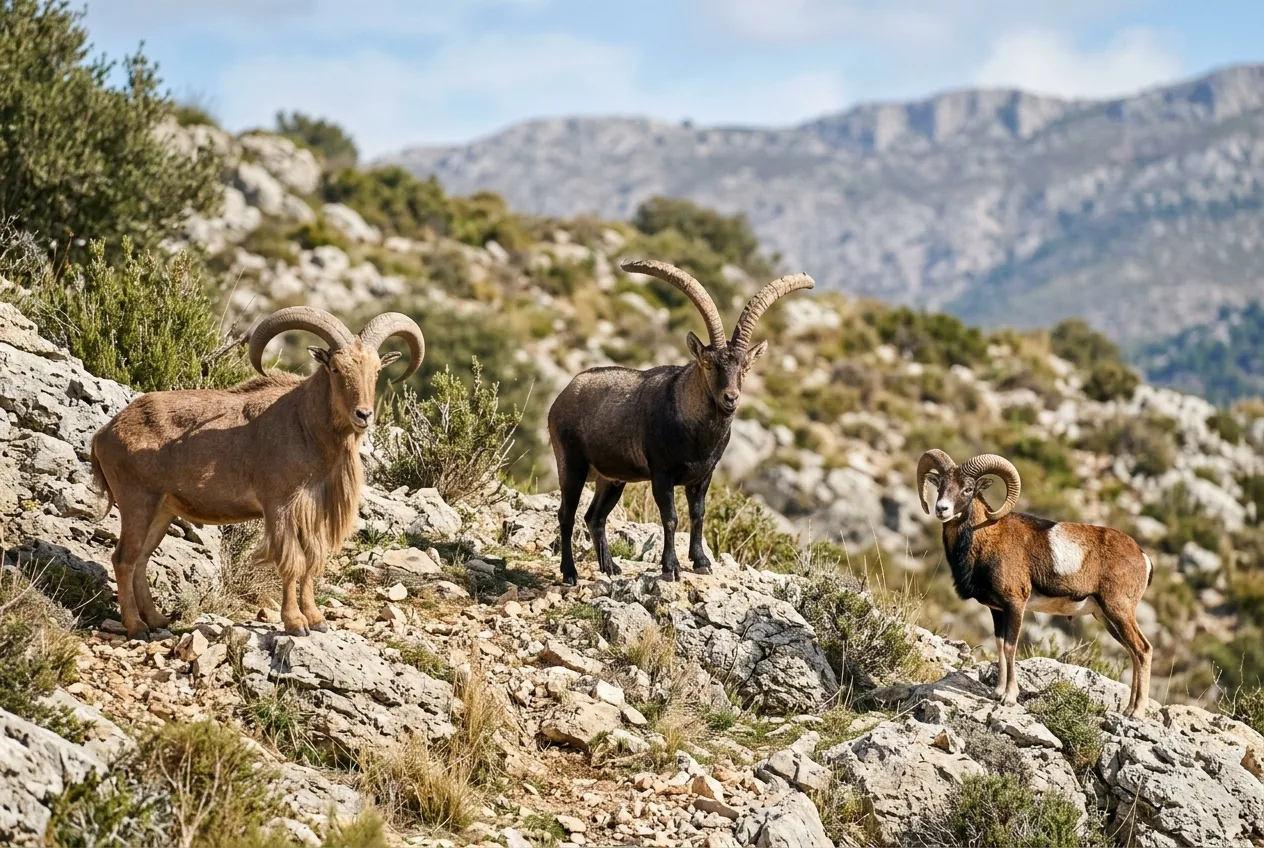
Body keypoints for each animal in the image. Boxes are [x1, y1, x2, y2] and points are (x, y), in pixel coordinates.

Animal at [89, 307, 424, 640]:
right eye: (335, 369)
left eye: (377, 370)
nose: (363, 415)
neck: (303, 423)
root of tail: (104, 433)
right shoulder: (279, 506)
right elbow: (292, 562)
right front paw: (295, 623)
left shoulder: (312, 511)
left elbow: (312, 560)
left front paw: (317, 619)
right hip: (137, 501)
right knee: (124, 558)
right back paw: (136, 627)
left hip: (162, 510)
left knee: (141, 559)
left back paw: (157, 620)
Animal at [548, 259, 813, 586]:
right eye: (709, 363)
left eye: (745, 367)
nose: (730, 398)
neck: (696, 431)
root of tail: (563, 395)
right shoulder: (662, 475)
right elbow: (671, 518)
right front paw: (670, 567)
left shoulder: (702, 477)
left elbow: (698, 514)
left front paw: (701, 561)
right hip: (571, 463)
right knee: (566, 514)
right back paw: (570, 572)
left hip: (612, 478)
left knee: (594, 516)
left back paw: (610, 567)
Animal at [917, 449, 1154, 717]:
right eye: (940, 485)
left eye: (967, 489)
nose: (941, 509)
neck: (986, 538)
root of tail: (1142, 557)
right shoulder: (997, 610)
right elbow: (1000, 645)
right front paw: (998, 693)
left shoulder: (1015, 605)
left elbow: (1010, 647)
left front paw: (1009, 698)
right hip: (1106, 617)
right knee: (1133, 652)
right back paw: (1128, 709)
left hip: (1118, 610)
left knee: (1143, 650)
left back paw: (1137, 713)